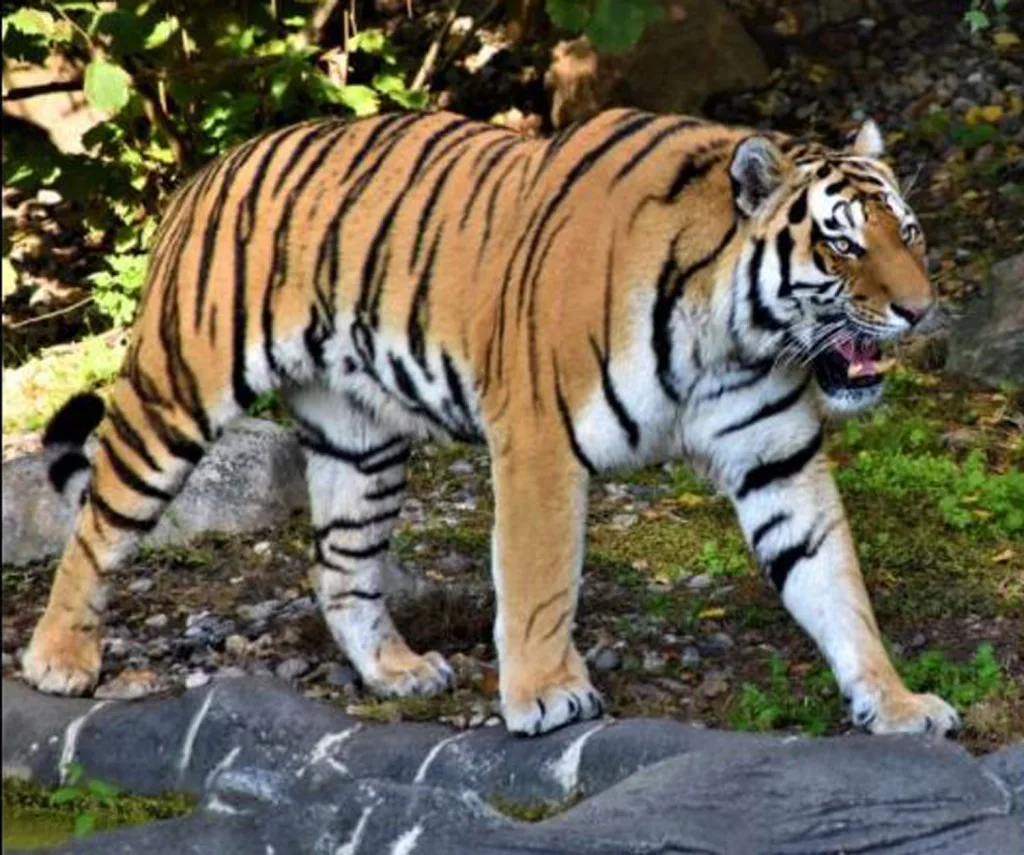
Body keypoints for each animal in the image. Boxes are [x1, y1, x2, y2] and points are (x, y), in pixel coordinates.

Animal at [22, 108, 960, 738]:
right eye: (843, 244)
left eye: (910, 233)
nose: (919, 311)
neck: (735, 334)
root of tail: (208, 170)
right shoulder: (541, 439)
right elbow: (541, 581)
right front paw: (546, 694)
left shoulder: (777, 458)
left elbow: (835, 584)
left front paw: (897, 702)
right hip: (177, 391)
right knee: (98, 524)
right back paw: (59, 660)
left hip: (361, 445)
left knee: (339, 567)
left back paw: (397, 672)